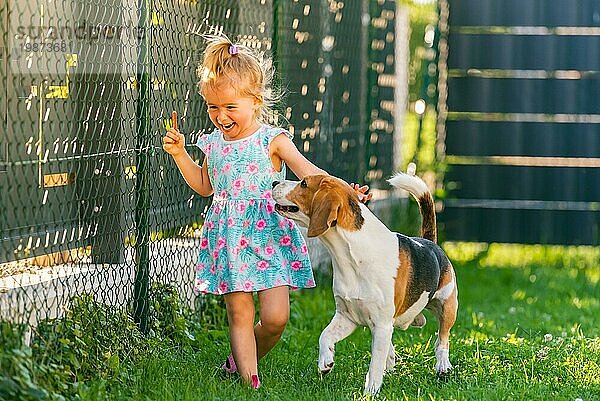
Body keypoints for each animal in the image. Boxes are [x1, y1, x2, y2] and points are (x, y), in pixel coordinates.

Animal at [274, 171, 460, 394]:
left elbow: (374, 365)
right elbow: (325, 335)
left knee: (442, 339)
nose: (274, 182)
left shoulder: (380, 323)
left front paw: (370, 392)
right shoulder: (347, 316)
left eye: (303, 183)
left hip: (448, 306)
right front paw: (325, 362)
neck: (350, 256)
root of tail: (430, 242)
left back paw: (443, 366)